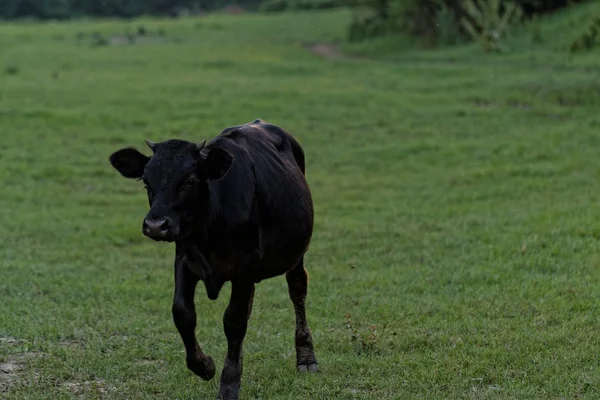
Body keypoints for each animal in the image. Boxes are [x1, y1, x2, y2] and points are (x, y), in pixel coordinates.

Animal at [108, 119, 318, 400]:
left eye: (190, 181)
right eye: (145, 181)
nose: (155, 226)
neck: (209, 228)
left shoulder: (244, 269)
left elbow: (234, 321)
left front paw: (228, 385)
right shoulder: (185, 260)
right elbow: (183, 313)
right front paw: (204, 365)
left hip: (296, 255)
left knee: (297, 290)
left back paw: (306, 358)